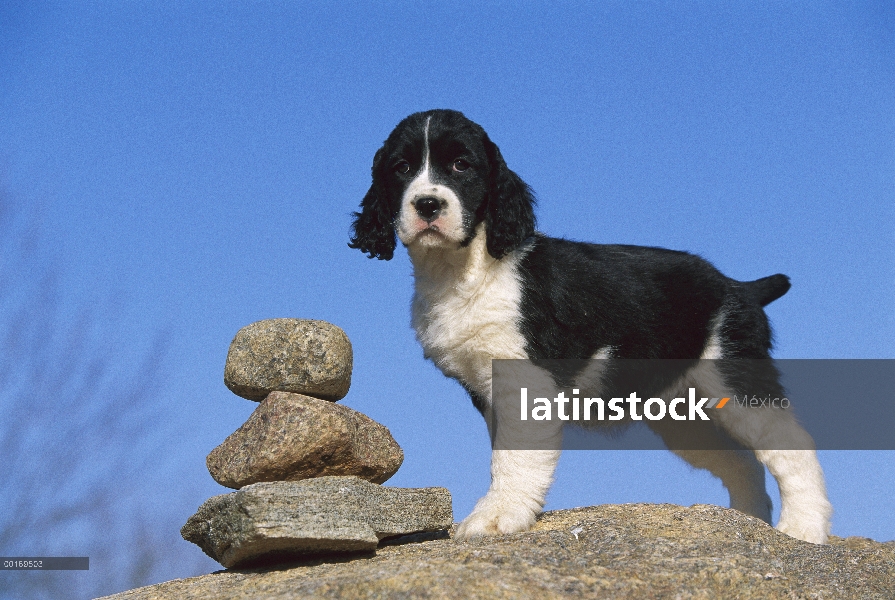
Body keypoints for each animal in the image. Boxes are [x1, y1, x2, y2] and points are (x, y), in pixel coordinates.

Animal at [348, 108, 832, 544]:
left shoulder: (525, 380)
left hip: (736, 379)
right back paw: (748, 524)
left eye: (461, 165)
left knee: (793, 447)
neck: (467, 270)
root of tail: (740, 288)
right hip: (684, 413)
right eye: (401, 168)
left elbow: (514, 459)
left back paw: (804, 530)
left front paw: (496, 517)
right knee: (742, 462)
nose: (428, 204)